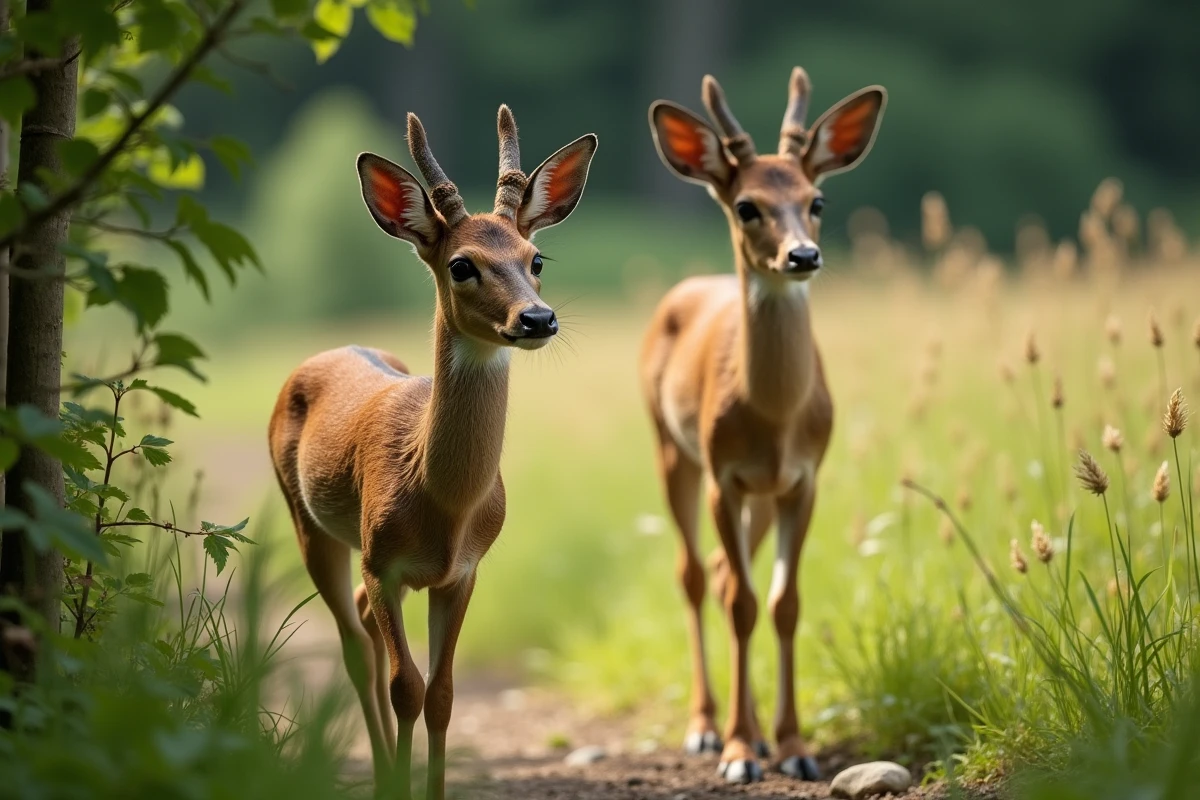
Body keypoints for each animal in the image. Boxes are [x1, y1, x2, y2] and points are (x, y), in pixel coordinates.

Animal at [268, 106, 596, 800]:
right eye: (462, 265)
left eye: (536, 258)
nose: (537, 318)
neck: (441, 502)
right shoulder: (383, 562)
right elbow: (406, 687)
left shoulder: (464, 570)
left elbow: (442, 694)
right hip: (309, 522)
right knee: (355, 650)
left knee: (365, 629)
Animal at [641, 69, 886, 784]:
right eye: (747, 206)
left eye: (817, 200)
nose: (803, 256)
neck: (775, 418)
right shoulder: (725, 475)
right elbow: (744, 605)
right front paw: (740, 752)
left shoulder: (802, 479)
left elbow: (783, 603)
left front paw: (795, 746)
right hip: (673, 449)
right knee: (696, 576)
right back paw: (705, 726)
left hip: (758, 496)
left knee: (727, 571)